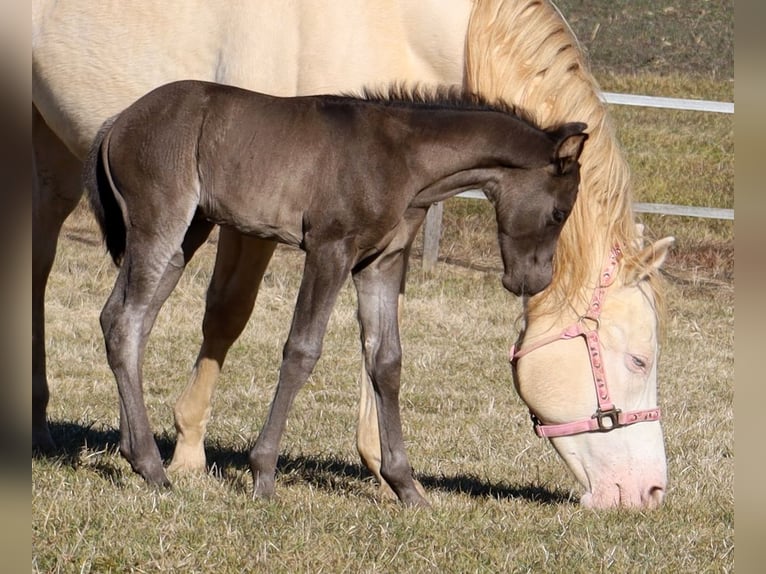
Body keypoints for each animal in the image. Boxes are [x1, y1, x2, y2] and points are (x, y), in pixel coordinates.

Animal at [33, 0, 676, 510]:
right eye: (561, 212)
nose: (529, 280)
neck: (401, 156)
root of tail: (117, 122)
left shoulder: (379, 264)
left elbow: (386, 360)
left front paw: (407, 486)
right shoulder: (329, 249)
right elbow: (301, 350)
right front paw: (263, 475)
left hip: (183, 236)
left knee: (130, 322)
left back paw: (137, 456)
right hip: (160, 225)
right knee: (123, 320)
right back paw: (153, 466)